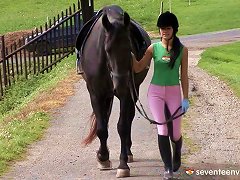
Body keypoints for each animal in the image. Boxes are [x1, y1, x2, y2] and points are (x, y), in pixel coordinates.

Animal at [75, 4, 150, 178]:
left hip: (133, 91)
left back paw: (128, 152)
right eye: (107, 49)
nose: (121, 85)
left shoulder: (127, 95)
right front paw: (103, 157)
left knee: (129, 118)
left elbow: (122, 126)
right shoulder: (96, 94)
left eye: (129, 48)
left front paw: (123, 164)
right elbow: (102, 128)